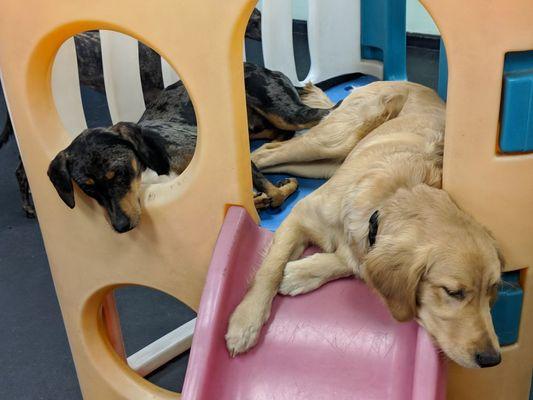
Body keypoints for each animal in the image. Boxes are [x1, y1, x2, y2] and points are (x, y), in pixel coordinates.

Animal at [47, 62, 330, 231]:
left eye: (119, 174)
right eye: (87, 188)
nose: (121, 227)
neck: (149, 169)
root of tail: (267, 68)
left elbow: (275, 193)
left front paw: (276, 190)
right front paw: (260, 196)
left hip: (287, 112)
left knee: (325, 113)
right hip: (256, 126)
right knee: (279, 133)